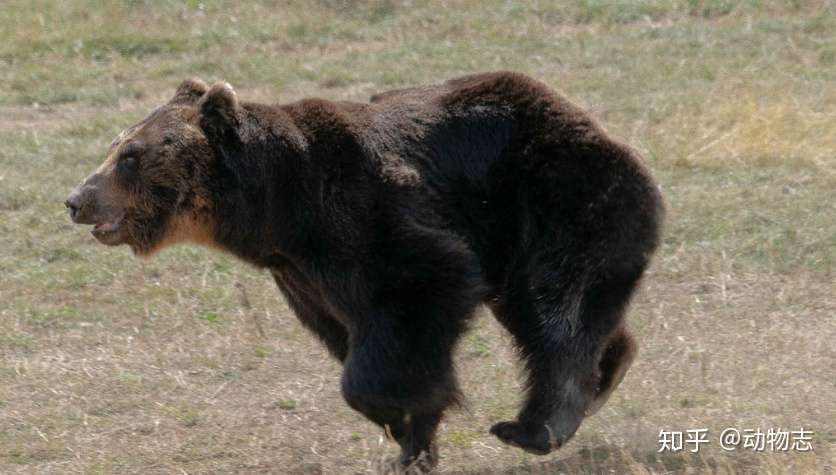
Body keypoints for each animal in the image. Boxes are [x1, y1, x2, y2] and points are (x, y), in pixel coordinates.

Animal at [67, 71, 660, 475]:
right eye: (114, 146)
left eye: (131, 155)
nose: (77, 200)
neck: (278, 210)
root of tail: (598, 126)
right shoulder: (304, 276)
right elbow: (356, 335)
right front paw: (409, 442)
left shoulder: (369, 219)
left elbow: (414, 302)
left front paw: (400, 414)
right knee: (561, 309)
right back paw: (608, 370)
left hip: (557, 195)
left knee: (554, 307)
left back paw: (536, 423)